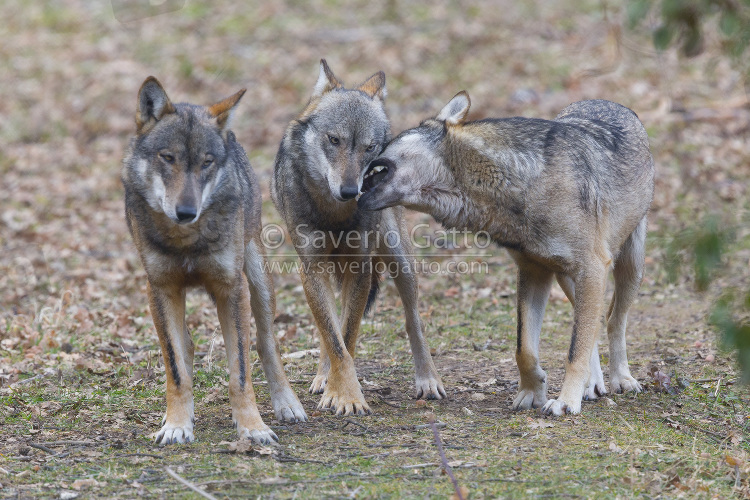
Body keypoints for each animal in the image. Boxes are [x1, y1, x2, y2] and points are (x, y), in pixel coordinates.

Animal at [122, 76, 306, 444]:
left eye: (206, 162)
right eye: (168, 158)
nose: (186, 211)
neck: (187, 239)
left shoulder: (231, 289)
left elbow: (240, 372)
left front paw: (253, 428)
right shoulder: (160, 289)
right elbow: (176, 369)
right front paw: (176, 424)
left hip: (259, 282)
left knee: (266, 345)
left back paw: (287, 404)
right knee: (186, 349)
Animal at [272, 60, 444, 416]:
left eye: (369, 147)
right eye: (334, 139)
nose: (351, 190)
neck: (335, 214)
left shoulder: (360, 267)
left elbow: (348, 335)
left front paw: (345, 396)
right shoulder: (311, 269)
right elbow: (335, 339)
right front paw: (340, 391)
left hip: (399, 261)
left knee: (413, 321)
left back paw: (428, 380)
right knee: (329, 329)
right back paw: (323, 377)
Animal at [358, 92, 652, 416]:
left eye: (381, 146)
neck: (519, 182)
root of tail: (610, 102)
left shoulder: (591, 269)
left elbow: (575, 350)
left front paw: (565, 401)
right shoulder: (534, 272)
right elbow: (525, 349)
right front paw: (532, 391)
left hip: (629, 268)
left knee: (613, 320)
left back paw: (621, 379)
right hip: (567, 280)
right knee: (593, 325)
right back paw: (593, 385)